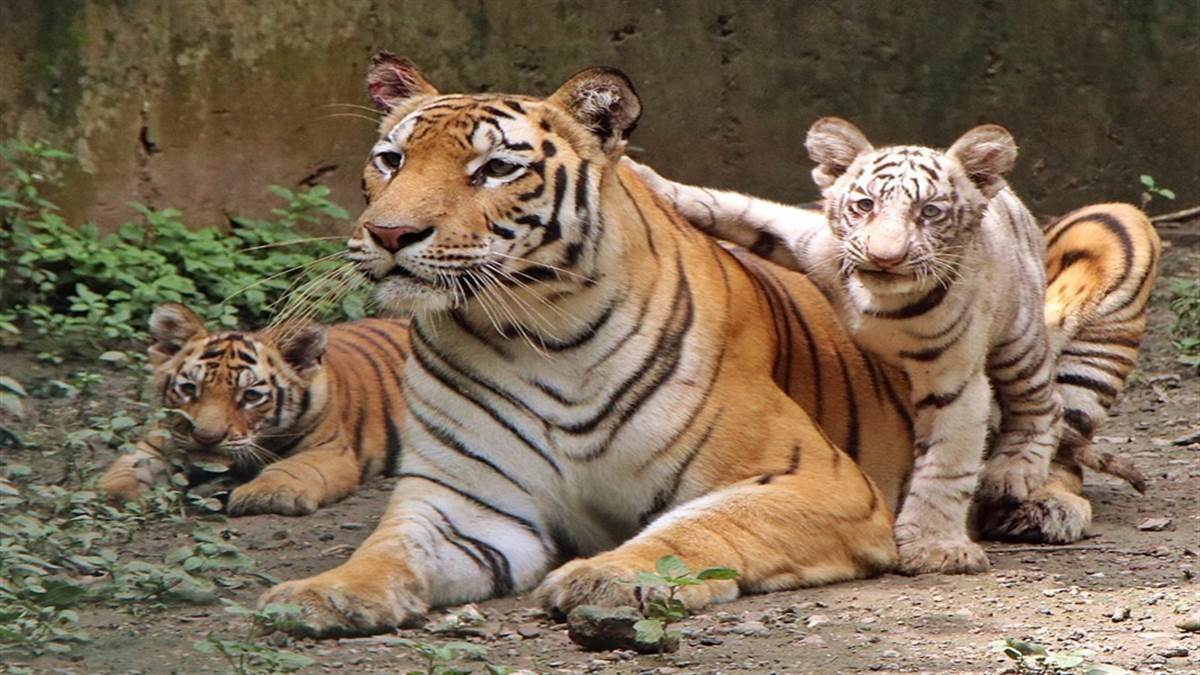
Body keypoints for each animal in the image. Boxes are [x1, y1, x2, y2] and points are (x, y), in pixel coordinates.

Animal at [96, 302, 410, 516]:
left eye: (250, 396)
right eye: (189, 389)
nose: (206, 437)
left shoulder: (329, 450)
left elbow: (293, 467)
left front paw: (267, 494)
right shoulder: (156, 443)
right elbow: (126, 470)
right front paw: (112, 495)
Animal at [257, 54, 920, 637]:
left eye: (496, 169)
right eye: (391, 160)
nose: (390, 233)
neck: (544, 337)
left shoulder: (818, 481)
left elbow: (699, 527)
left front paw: (609, 577)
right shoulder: (467, 501)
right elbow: (389, 549)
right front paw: (324, 592)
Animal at [629, 119, 1160, 570]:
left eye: (929, 212)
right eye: (864, 205)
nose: (887, 258)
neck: (882, 304)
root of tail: (1010, 198)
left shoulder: (956, 378)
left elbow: (947, 463)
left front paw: (932, 546)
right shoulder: (807, 239)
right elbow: (737, 207)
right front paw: (652, 180)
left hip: (1025, 330)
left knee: (1046, 407)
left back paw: (1016, 477)